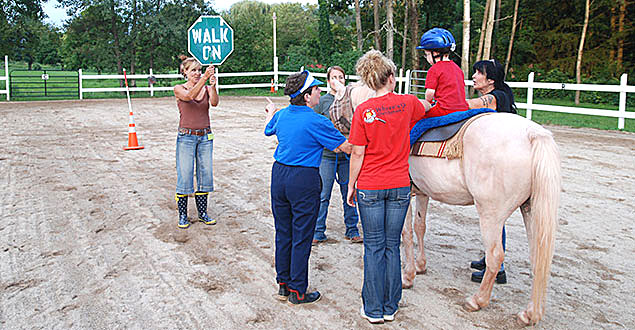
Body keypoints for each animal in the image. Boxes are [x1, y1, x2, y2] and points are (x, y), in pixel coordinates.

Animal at [350, 88, 564, 328]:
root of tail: (532, 134)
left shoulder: (403, 196)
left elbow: (405, 233)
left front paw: (408, 276)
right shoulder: (422, 193)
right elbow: (420, 227)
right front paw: (421, 266)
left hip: (491, 214)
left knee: (495, 255)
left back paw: (477, 300)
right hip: (530, 210)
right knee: (538, 258)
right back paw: (531, 313)